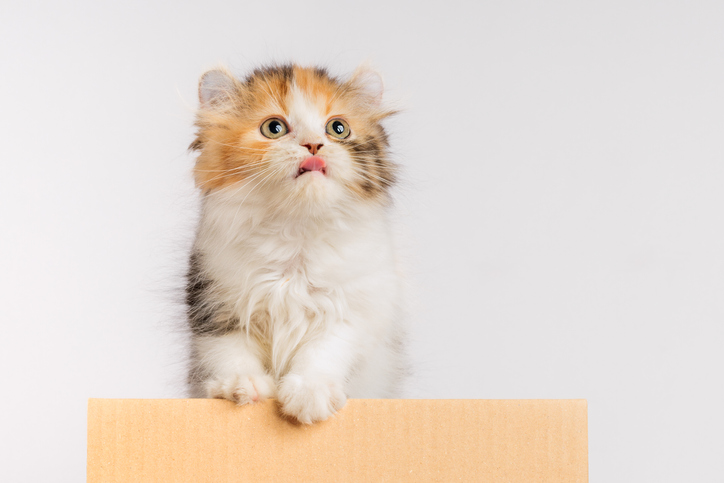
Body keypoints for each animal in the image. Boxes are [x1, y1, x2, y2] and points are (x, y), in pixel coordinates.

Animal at [184, 64, 408, 424]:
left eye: (338, 128)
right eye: (274, 128)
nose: (314, 145)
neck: (297, 230)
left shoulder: (355, 308)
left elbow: (324, 350)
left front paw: (309, 394)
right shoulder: (213, 302)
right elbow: (229, 349)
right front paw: (241, 385)